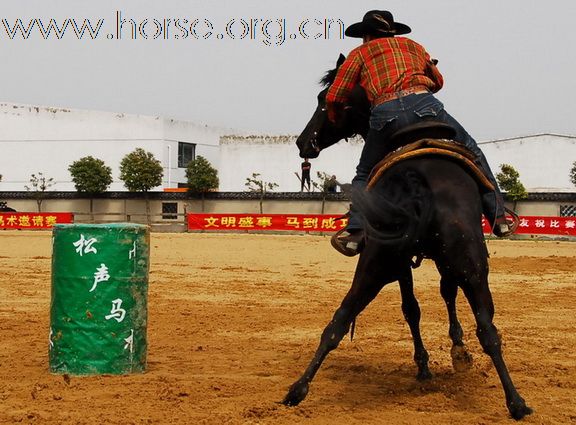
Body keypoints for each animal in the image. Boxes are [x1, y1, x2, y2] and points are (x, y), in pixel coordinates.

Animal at [282, 55, 532, 418]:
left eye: (324, 100)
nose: (304, 143)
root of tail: (418, 179)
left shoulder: (410, 263)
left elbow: (414, 307)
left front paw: (431, 362)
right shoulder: (433, 263)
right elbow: (433, 300)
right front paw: (448, 354)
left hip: (379, 263)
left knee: (339, 320)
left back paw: (297, 390)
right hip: (462, 264)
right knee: (487, 327)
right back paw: (514, 400)